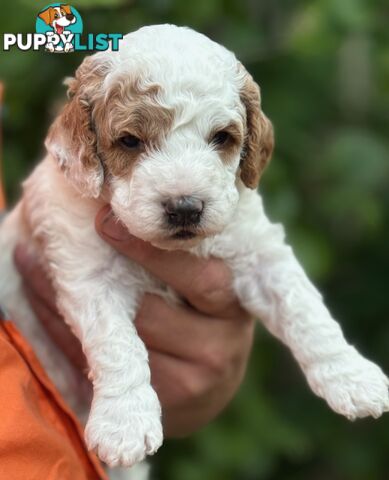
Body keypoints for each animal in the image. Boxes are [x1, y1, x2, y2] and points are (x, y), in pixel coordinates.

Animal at [0, 24, 388, 474]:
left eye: (222, 137)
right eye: (129, 141)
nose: (184, 207)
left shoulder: (259, 252)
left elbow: (307, 309)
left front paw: (351, 375)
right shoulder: (88, 275)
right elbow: (117, 344)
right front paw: (125, 423)